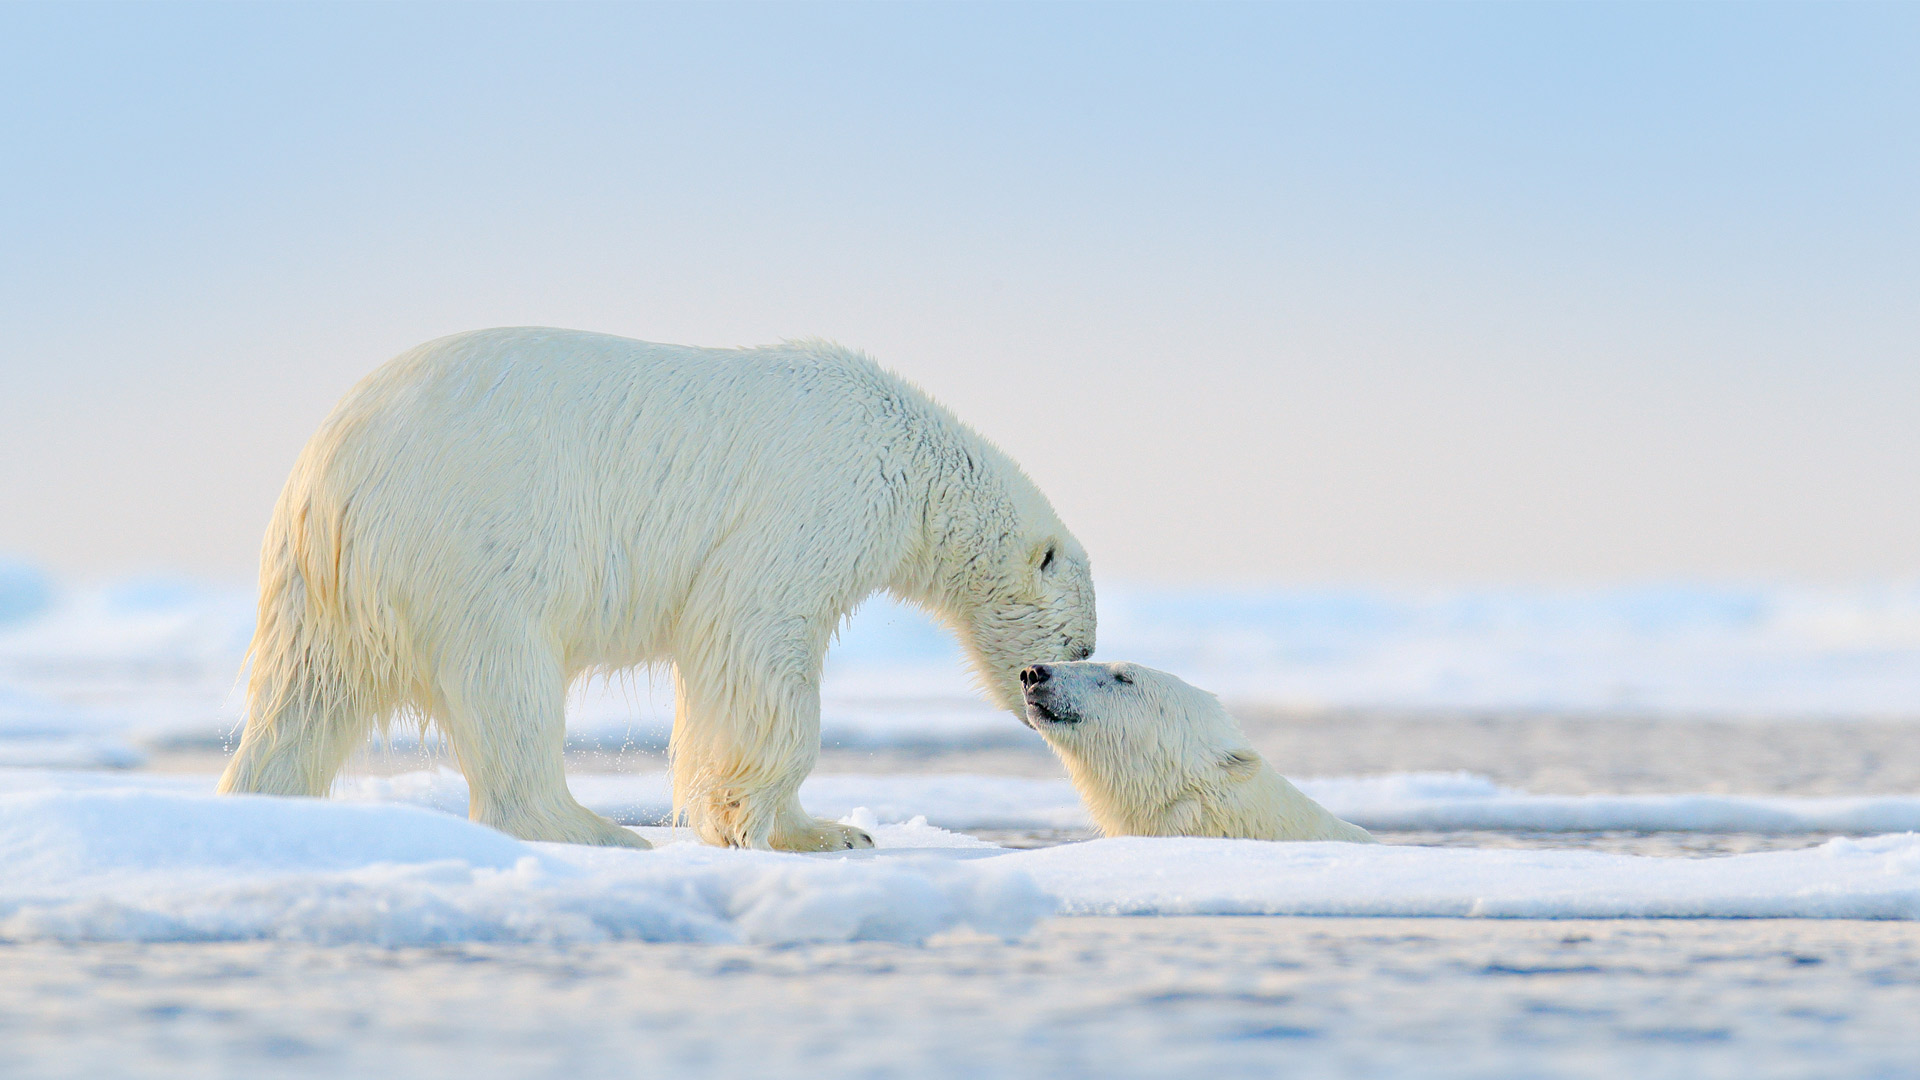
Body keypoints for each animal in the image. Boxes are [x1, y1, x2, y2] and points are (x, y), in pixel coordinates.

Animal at [219, 322, 1098, 845]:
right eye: (1079, 645)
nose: (1039, 694)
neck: (911, 458)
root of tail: (325, 472)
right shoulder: (815, 500)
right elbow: (755, 637)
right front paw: (813, 829)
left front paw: (829, 828)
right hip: (470, 541)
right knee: (508, 684)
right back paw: (592, 827)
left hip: (324, 587)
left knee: (303, 700)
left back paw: (262, 803)